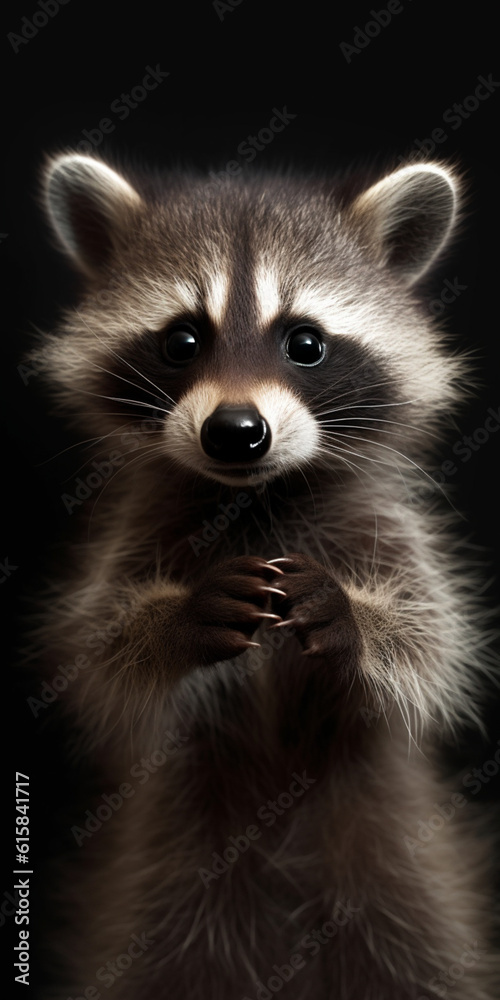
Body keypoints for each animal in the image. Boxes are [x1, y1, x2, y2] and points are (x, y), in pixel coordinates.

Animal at [28, 151, 499, 999]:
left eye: (305, 342)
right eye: (182, 339)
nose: (236, 433)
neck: (256, 495)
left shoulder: (387, 528)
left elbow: (429, 638)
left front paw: (354, 619)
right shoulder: (139, 529)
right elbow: (103, 646)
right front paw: (175, 623)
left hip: (398, 883)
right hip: (173, 884)